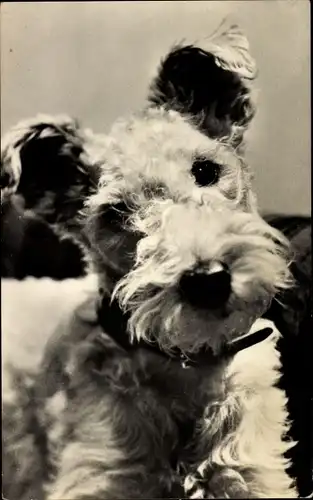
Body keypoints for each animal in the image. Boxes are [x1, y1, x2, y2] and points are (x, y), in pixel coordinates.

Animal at [1, 22, 298, 496]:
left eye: (205, 171)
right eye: (115, 213)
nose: (208, 280)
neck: (187, 367)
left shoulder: (254, 473)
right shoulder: (97, 474)